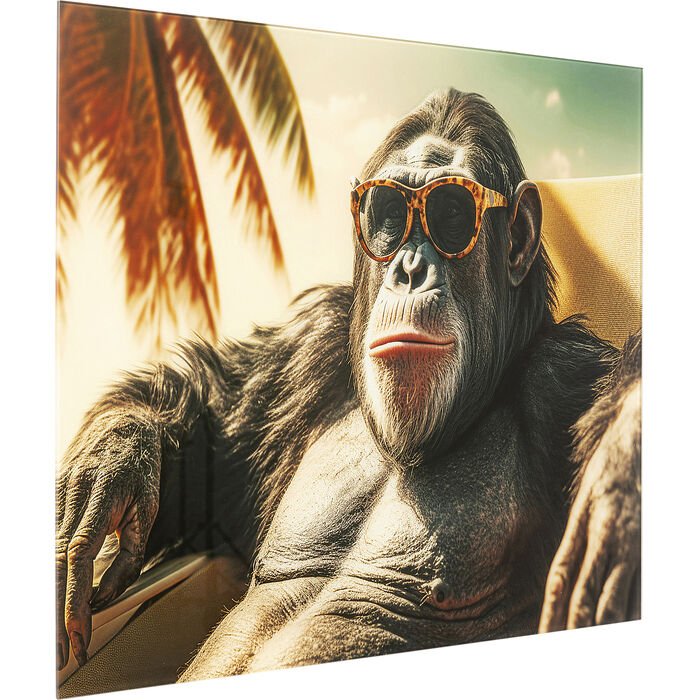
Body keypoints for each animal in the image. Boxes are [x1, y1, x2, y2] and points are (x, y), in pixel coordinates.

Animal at [56, 89, 641, 678]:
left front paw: (620, 475)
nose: (409, 267)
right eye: (387, 214)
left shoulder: (565, 381)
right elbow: (218, 421)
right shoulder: (309, 349)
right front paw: (110, 464)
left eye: (452, 213)